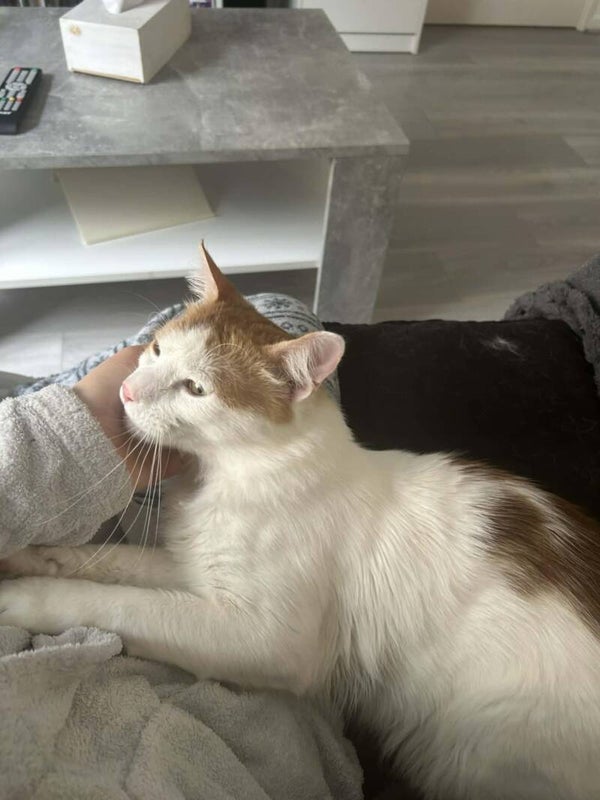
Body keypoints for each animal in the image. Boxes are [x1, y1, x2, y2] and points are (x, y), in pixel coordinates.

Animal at [2, 244, 600, 800]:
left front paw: (26, 597)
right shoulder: (195, 569)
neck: (225, 474)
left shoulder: (264, 638)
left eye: (195, 389)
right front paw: (34, 555)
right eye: (156, 350)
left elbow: (118, 603)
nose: (125, 391)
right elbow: (115, 568)